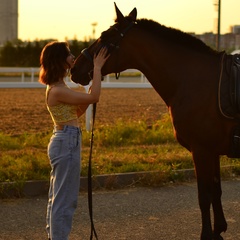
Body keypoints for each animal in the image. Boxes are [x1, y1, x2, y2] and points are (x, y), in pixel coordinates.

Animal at [71, 2, 240, 239]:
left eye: (105, 36)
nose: (74, 68)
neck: (195, 79)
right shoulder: (211, 151)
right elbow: (216, 190)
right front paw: (219, 230)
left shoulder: (202, 150)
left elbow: (204, 196)